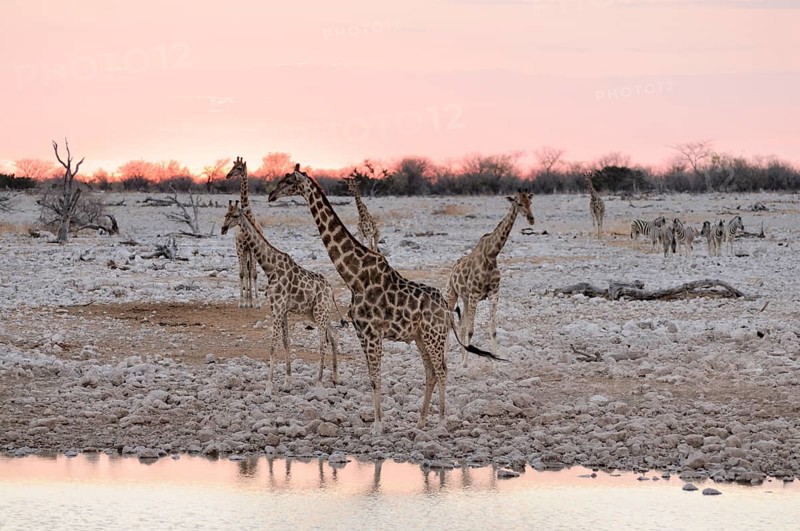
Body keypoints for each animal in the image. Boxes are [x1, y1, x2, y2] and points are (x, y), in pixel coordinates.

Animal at [221, 157, 260, 309]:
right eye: (233, 166)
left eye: (238, 168)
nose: (227, 175)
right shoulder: (241, 248)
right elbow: (242, 273)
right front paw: (242, 302)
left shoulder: (253, 249)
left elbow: (253, 274)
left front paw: (256, 302)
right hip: (240, 250)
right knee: (243, 272)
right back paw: (246, 300)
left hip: (248, 251)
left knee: (249, 272)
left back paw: (251, 300)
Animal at [221, 200, 343, 392]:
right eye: (225, 214)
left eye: (235, 215)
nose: (223, 228)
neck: (270, 268)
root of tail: (330, 289)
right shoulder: (281, 309)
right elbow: (286, 342)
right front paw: (287, 382)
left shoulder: (277, 308)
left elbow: (273, 345)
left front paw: (269, 386)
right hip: (314, 312)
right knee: (334, 334)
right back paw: (336, 378)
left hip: (320, 311)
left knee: (323, 342)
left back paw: (319, 382)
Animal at [268, 165, 505, 434]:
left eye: (288, 181)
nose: (271, 195)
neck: (354, 277)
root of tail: (446, 310)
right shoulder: (361, 333)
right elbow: (372, 377)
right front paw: (377, 423)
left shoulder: (372, 333)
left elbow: (376, 377)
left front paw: (377, 426)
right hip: (422, 337)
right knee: (431, 372)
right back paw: (421, 421)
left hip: (434, 336)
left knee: (442, 371)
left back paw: (441, 423)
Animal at [446, 191, 535, 367]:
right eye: (519, 203)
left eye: (530, 202)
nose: (531, 219)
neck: (491, 254)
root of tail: (453, 269)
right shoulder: (475, 294)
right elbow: (471, 330)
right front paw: (465, 364)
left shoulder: (493, 294)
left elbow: (492, 330)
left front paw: (496, 361)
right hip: (452, 294)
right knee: (452, 324)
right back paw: (451, 359)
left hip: (465, 299)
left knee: (461, 324)